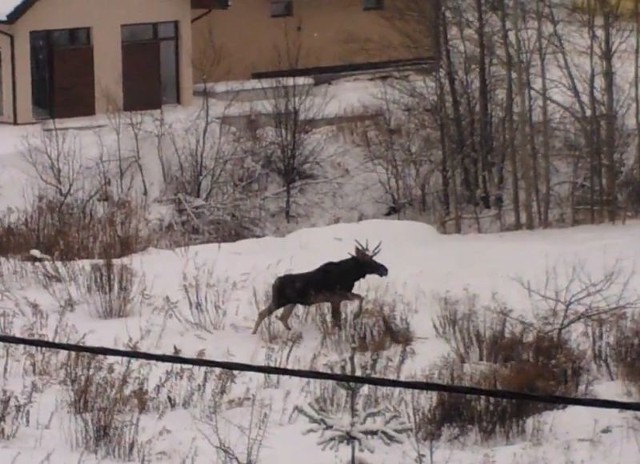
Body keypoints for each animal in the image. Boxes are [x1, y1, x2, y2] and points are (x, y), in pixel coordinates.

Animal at [251, 241, 390, 336]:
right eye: (369, 260)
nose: (385, 269)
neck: (351, 275)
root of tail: (274, 283)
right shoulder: (337, 297)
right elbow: (342, 314)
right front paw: (355, 316)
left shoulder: (338, 298)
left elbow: (338, 318)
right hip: (279, 301)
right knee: (263, 313)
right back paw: (254, 332)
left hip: (291, 303)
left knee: (283, 318)